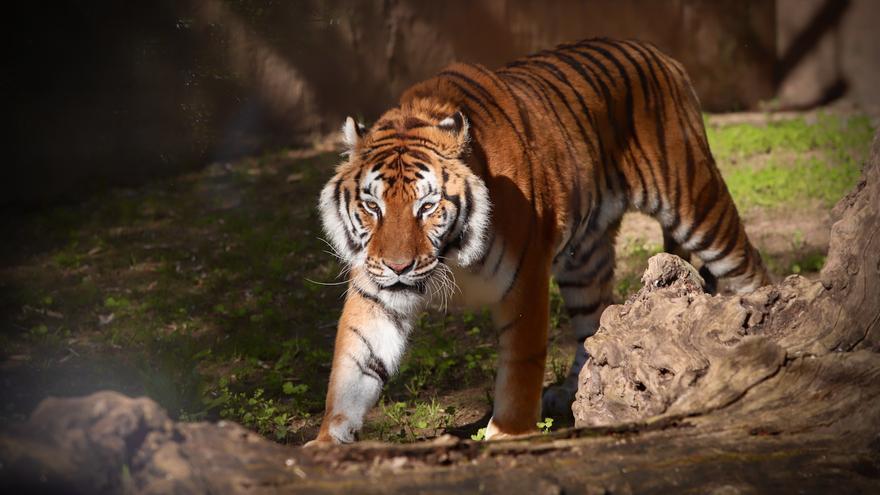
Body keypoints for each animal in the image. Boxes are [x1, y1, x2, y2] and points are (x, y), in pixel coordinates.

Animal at [306, 35, 768, 446]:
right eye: (373, 206)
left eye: (427, 206)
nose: (399, 267)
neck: (451, 256)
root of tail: (661, 54)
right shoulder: (375, 292)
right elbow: (353, 363)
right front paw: (327, 441)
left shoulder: (525, 278)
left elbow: (520, 366)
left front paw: (508, 434)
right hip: (584, 260)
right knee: (594, 321)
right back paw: (576, 390)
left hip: (698, 204)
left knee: (749, 266)